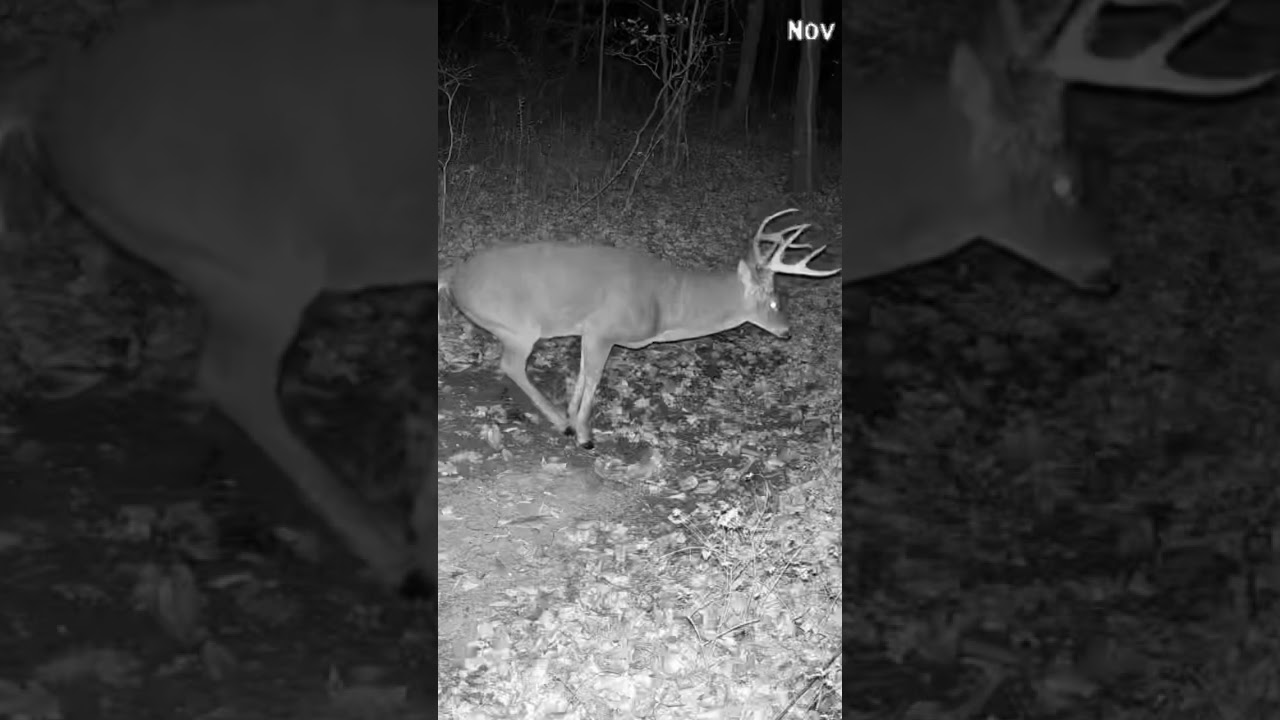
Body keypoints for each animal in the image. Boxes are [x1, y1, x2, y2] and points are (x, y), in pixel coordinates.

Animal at [439, 209, 840, 449]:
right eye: (773, 301)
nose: (787, 332)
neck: (665, 307)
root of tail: (453, 276)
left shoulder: (588, 332)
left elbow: (582, 375)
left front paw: (573, 417)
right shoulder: (604, 328)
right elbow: (594, 381)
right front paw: (584, 433)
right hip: (521, 326)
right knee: (510, 365)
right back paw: (560, 424)